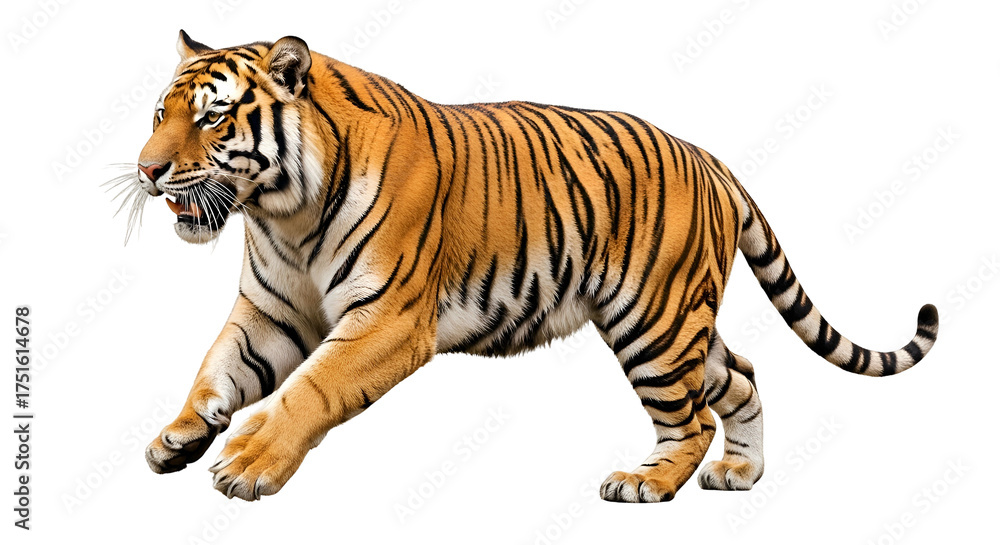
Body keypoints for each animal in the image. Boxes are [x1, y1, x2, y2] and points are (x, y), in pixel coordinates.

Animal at [120, 31, 939, 503]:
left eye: (212, 117)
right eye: (159, 113)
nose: (147, 170)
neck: (283, 211)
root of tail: (709, 157)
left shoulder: (388, 318)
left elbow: (310, 390)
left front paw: (247, 461)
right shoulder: (273, 312)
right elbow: (216, 368)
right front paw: (180, 435)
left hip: (654, 321)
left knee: (694, 416)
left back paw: (645, 482)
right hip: (681, 322)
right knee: (740, 374)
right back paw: (741, 474)